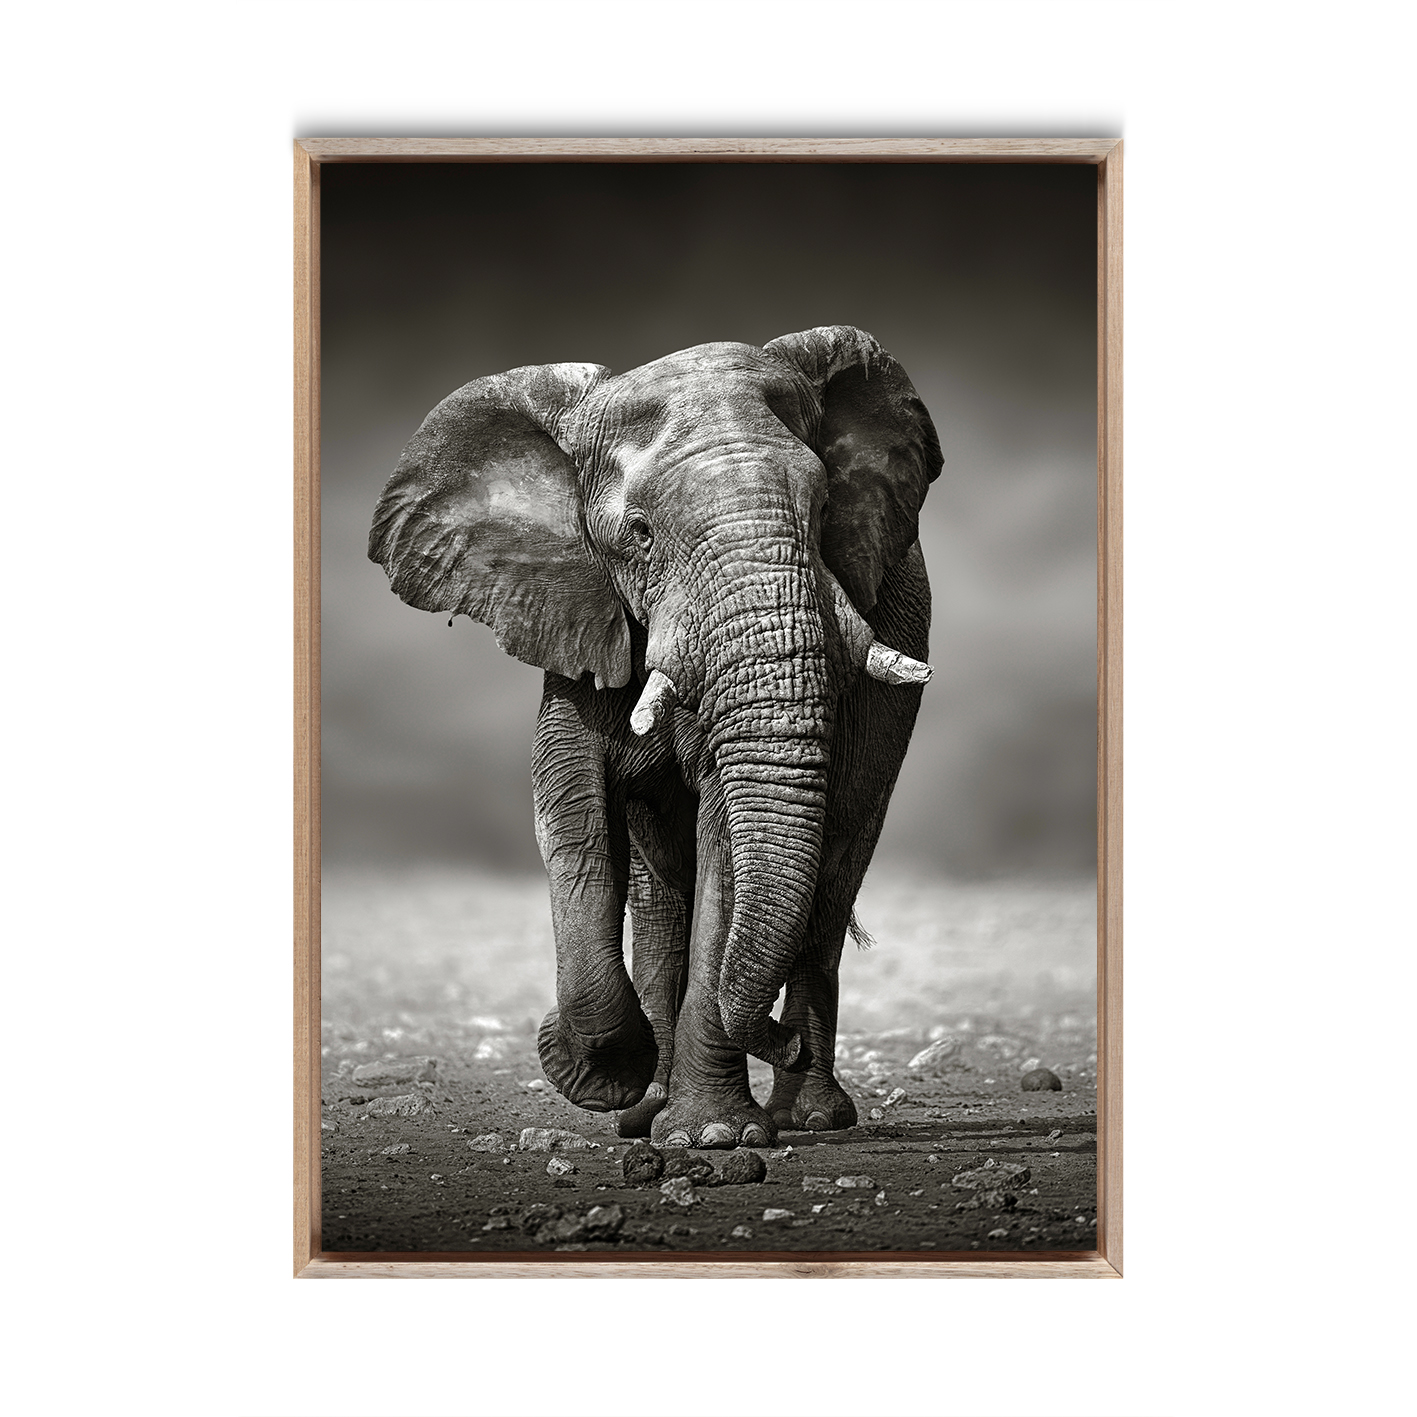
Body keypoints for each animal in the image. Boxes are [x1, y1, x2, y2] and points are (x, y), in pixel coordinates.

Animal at [368, 325, 941, 1148]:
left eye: (826, 505)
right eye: (638, 534)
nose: (777, 1040)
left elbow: (726, 840)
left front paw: (714, 1137)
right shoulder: (577, 614)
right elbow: (571, 815)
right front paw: (600, 1075)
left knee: (831, 874)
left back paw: (806, 1116)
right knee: (661, 892)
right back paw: (648, 1111)